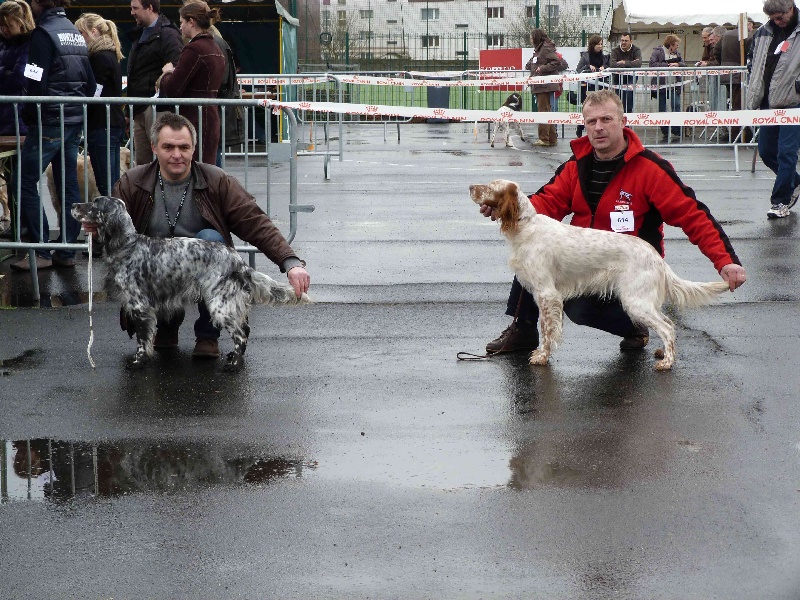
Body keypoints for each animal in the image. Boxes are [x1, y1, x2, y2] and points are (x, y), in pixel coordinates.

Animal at [72, 197, 310, 372]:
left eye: (95, 203)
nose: (73, 205)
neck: (127, 246)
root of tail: (237, 261)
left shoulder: (140, 306)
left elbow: (141, 340)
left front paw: (138, 362)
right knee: (244, 329)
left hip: (219, 304)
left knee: (240, 334)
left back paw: (233, 365)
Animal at [472, 177, 736, 370]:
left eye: (490, 187)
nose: (470, 187)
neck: (525, 225)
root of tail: (656, 258)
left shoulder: (547, 294)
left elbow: (547, 330)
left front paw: (541, 357)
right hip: (644, 301)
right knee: (669, 323)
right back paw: (662, 352)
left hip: (636, 300)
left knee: (667, 328)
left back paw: (666, 362)